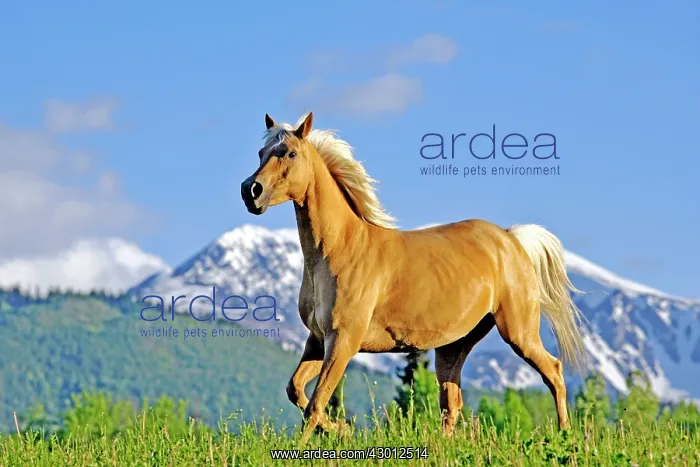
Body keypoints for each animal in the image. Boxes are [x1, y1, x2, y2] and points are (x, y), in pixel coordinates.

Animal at [240, 112, 587, 443]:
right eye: (260, 152)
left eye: (290, 153)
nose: (250, 191)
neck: (339, 250)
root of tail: (511, 239)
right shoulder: (317, 339)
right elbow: (296, 390)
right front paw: (343, 431)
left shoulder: (343, 341)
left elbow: (315, 404)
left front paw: (303, 447)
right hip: (455, 344)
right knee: (451, 403)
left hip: (518, 332)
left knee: (554, 372)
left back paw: (565, 435)